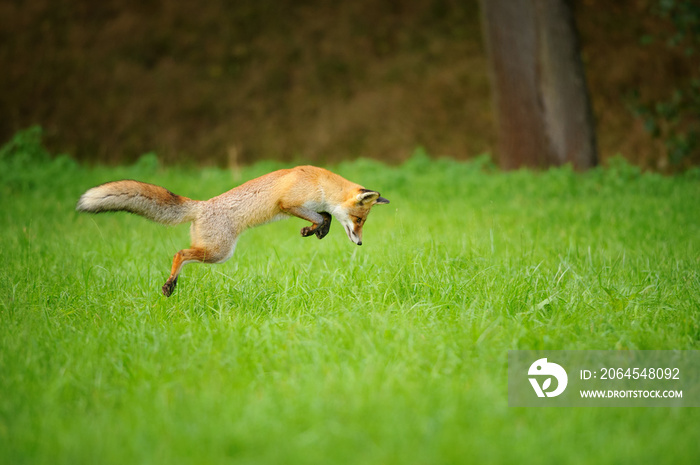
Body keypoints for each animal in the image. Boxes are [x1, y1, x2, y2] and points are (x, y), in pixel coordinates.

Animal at [80, 166, 394, 298]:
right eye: (358, 220)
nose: (360, 243)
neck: (319, 182)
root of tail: (201, 206)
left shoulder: (301, 206)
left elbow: (325, 216)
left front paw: (313, 230)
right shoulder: (288, 203)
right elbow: (324, 215)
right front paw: (315, 228)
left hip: (215, 251)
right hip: (219, 252)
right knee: (180, 253)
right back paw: (170, 285)